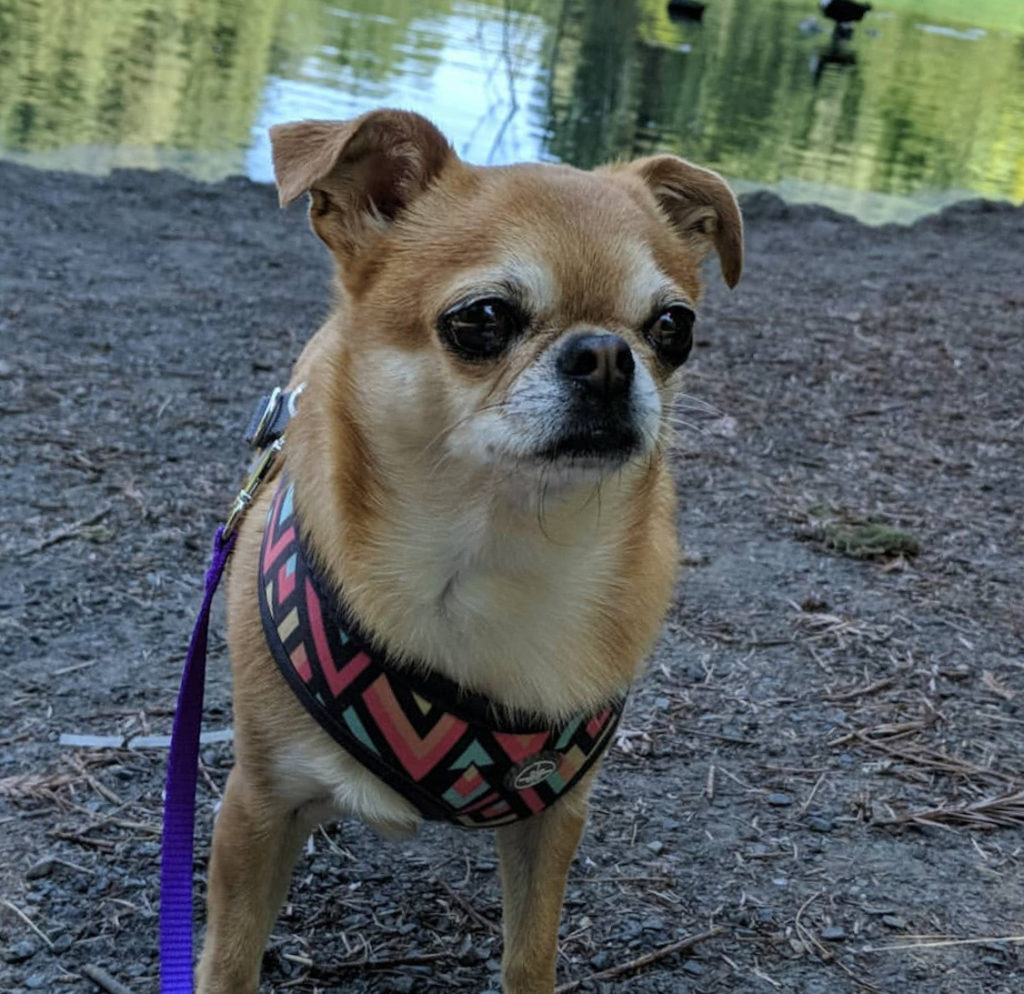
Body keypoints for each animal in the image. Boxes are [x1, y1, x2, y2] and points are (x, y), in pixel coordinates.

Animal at [195, 109, 741, 994]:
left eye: (674, 327)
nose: (606, 354)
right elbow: (230, 958)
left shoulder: (553, 820)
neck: (494, 550)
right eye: (481, 319)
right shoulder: (256, 807)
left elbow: (529, 954)